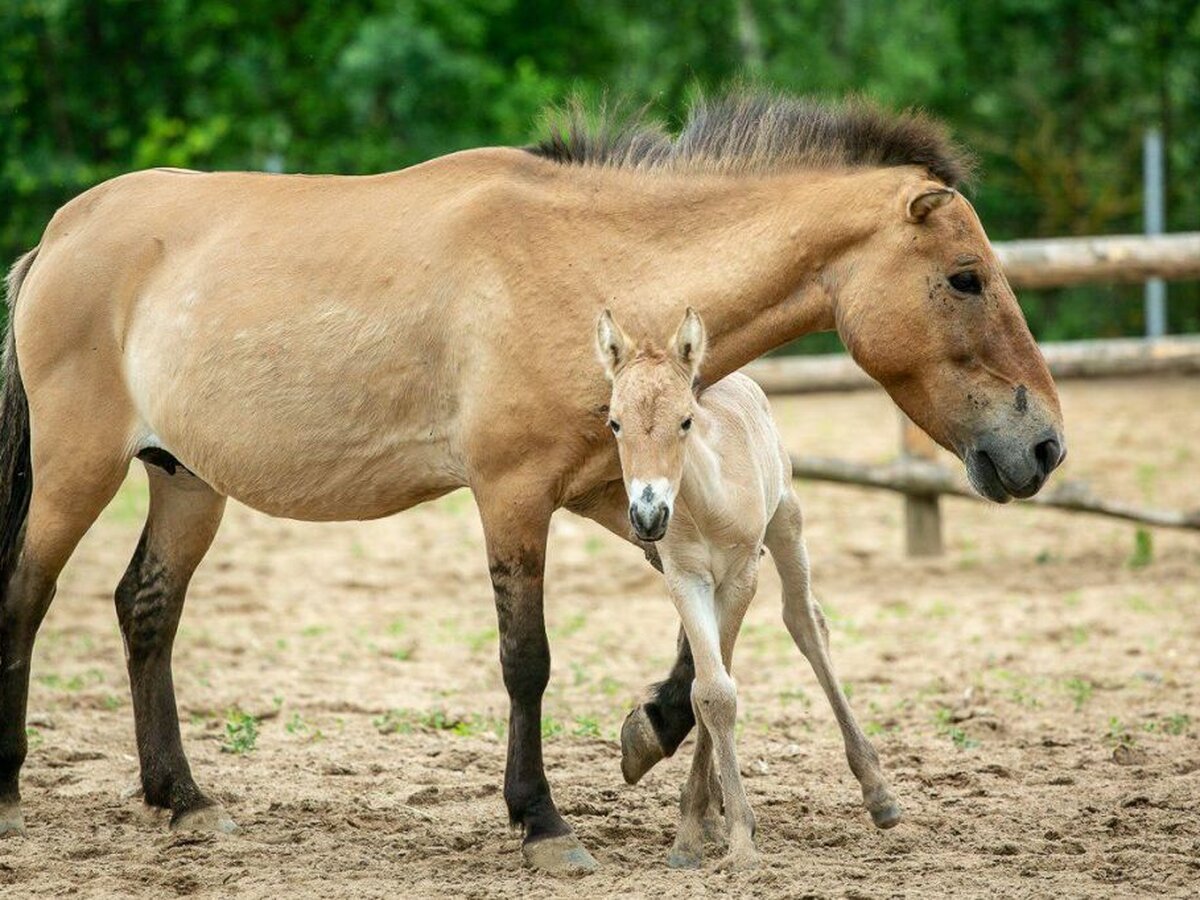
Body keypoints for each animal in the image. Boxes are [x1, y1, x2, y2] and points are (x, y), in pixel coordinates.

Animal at [600, 309, 902, 868]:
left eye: (685, 421)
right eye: (614, 422)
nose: (648, 516)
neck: (705, 503)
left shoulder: (742, 575)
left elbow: (719, 691)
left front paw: (738, 839)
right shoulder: (684, 577)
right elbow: (710, 690)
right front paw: (693, 833)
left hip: (786, 522)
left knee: (806, 623)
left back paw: (879, 793)